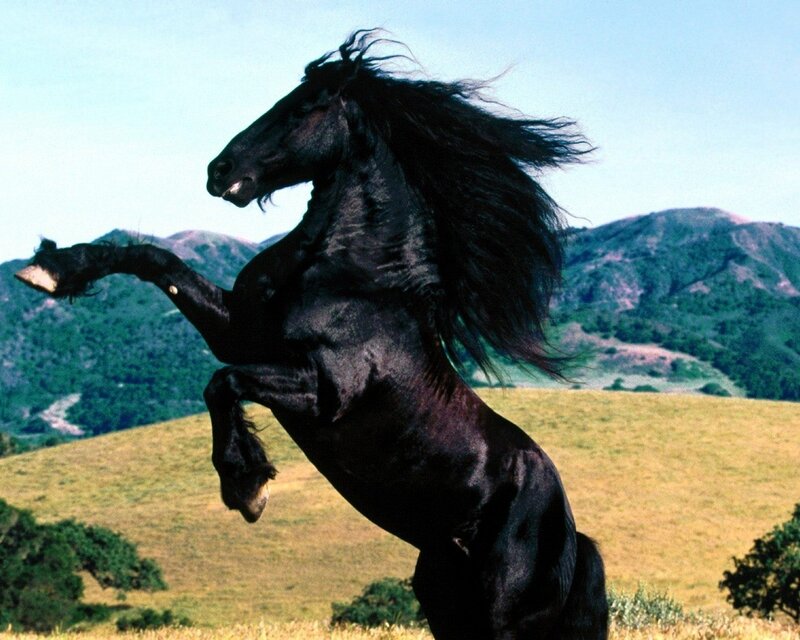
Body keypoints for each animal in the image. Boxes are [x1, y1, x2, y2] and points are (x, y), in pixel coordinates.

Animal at [16, 30, 608, 639]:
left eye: (302, 109)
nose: (218, 170)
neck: (353, 277)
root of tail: (571, 534)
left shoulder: (323, 391)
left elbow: (223, 383)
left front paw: (248, 487)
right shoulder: (240, 333)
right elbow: (156, 262)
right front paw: (52, 269)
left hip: (502, 616)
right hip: (444, 597)